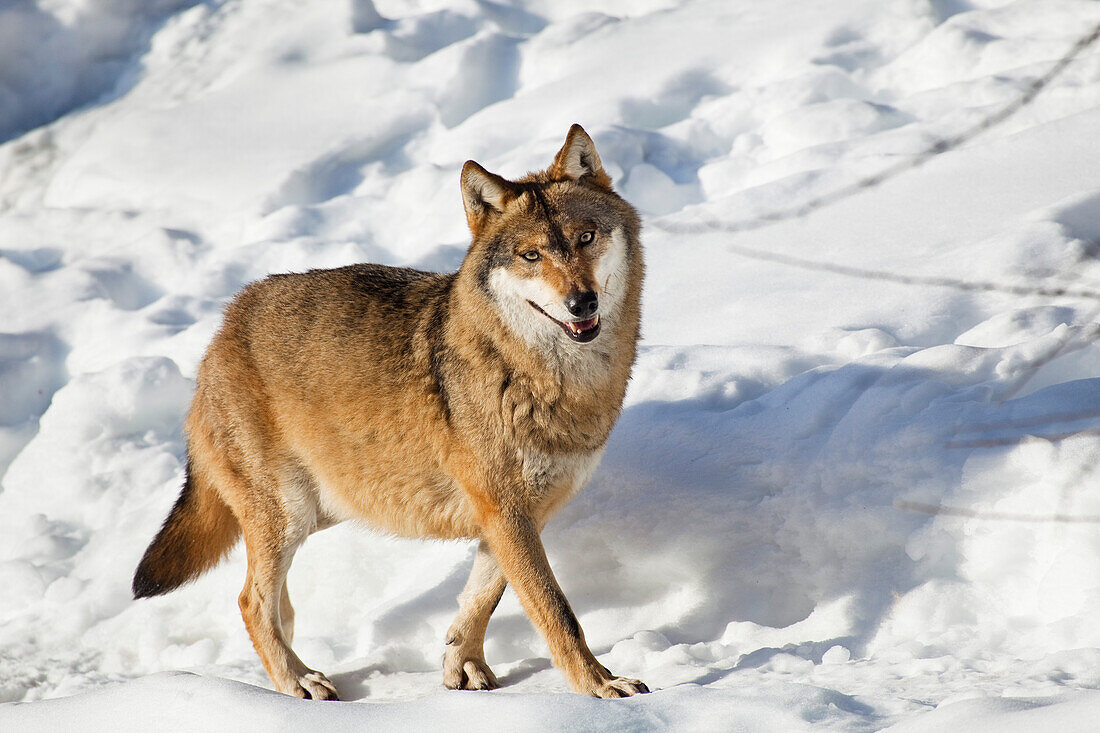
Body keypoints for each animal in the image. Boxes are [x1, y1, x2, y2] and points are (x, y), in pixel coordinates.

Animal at [133, 124, 646, 695]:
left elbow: (481, 599)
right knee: (250, 601)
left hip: (321, 511)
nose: (582, 303)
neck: (547, 379)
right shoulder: (507, 513)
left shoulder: (511, 517)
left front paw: (462, 665)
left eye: (585, 238)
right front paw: (600, 687)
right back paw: (298, 683)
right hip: (289, 514)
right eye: (532, 256)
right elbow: (558, 612)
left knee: (280, 606)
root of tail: (222, 329)